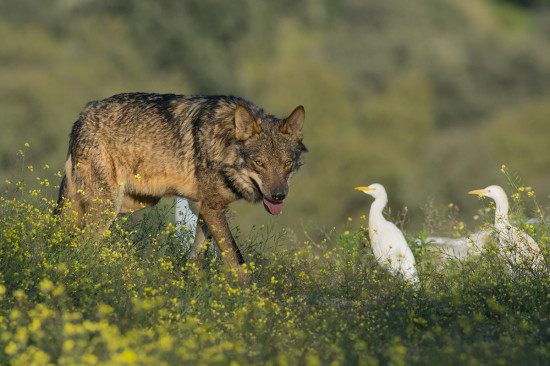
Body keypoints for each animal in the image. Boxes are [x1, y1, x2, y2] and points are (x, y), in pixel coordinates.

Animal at [56, 93, 308, 284]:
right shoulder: (213, 209)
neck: (224, 142)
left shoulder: (208, 209)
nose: (278, 195)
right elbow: (238, 261)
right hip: (109, 205)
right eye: (259, 163)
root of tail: (82, 115)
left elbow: (197, 257)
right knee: (80, 246)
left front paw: (191, 288)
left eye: (287, 163)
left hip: (133, 202)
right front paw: (253, 300)